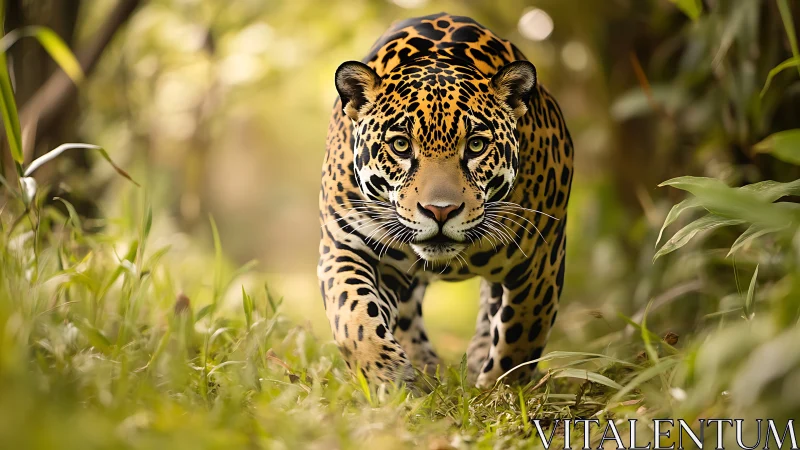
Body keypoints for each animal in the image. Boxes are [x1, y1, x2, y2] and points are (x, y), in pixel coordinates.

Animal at [318, 12, 573, 389]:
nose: (441, 211)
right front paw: (388, 377)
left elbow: (522, 334)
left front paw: (500, 391)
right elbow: (353, 315)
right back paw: (426, 367)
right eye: (401, 145)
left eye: (477, 146)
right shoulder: (346, 243)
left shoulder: (541, 258)